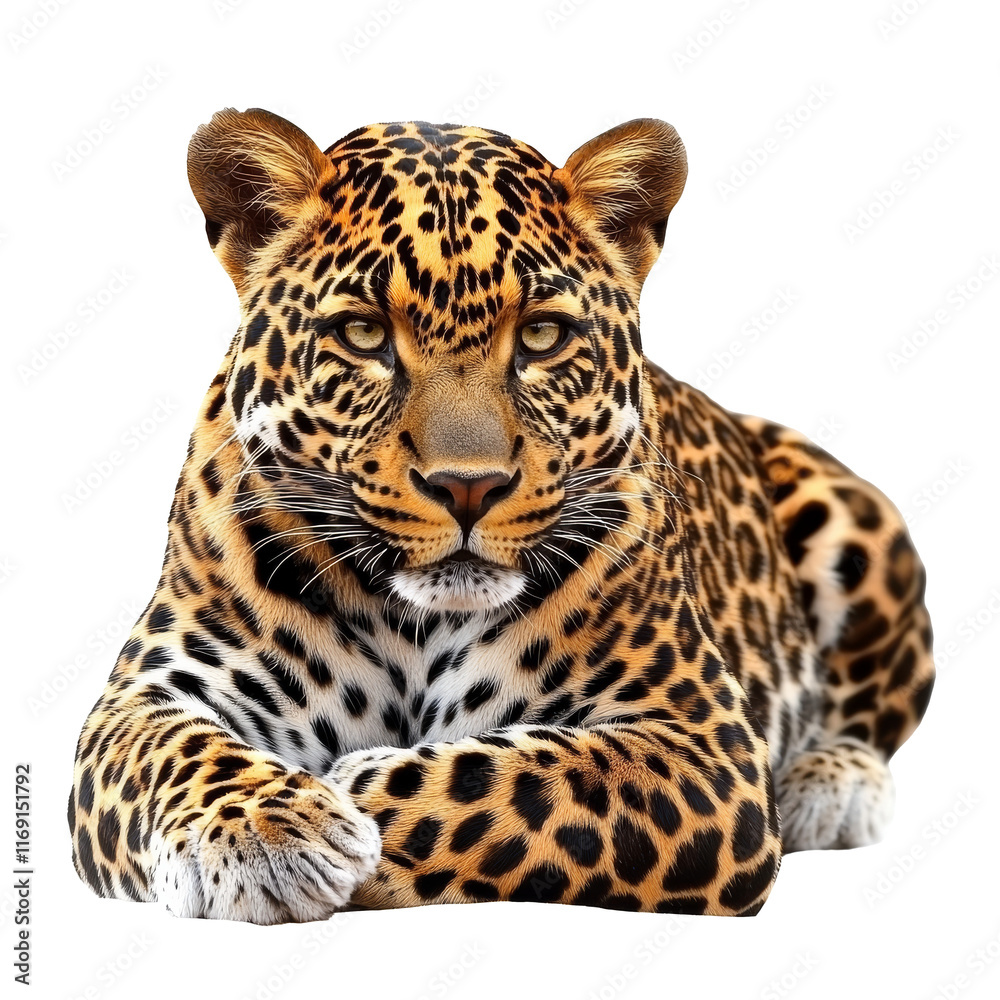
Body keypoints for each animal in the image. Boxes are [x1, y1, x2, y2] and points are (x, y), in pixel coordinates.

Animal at [67, 109, 934, 922]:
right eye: (363, 333)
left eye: (543, 336)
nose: (467, 487)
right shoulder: (147, 693)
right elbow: (173, 750)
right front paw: (270, 833)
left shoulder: (701, 740)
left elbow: (525, 774)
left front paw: (355, 785)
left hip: (855, 516)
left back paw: (831, 786)